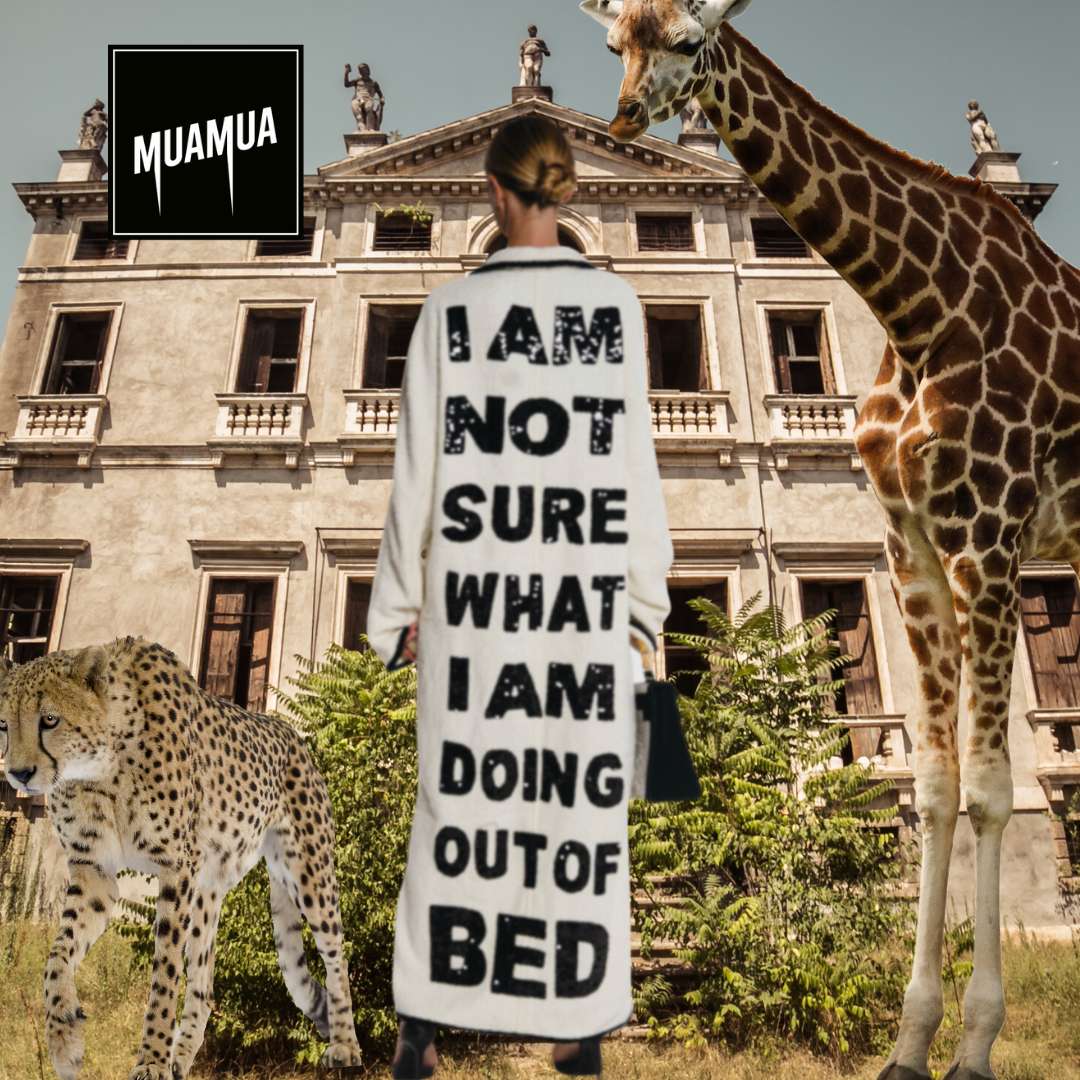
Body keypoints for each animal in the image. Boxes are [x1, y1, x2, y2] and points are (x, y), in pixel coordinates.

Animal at [581, 2, 1080, 1079]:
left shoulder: (990, 537)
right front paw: (911, 1040)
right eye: (617, 42)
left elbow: (991, 790)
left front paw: (976, 1043)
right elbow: (934, 791)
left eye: (689, 39)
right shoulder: (911, 553)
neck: (915, 300)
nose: (626, 118)